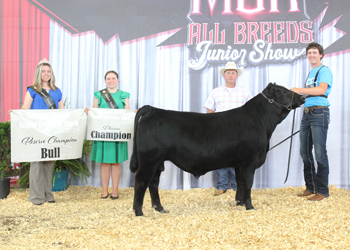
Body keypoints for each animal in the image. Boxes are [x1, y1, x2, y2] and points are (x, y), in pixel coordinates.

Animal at [130, 83, 304, 216]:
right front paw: (250, 206)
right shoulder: (249, 160)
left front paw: (239, 202)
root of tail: (153, 109)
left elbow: (239, 182)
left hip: (158, 162)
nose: (303, 97)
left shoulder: (239, 163)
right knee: (141, 181)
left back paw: (160, 208)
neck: (259, 121)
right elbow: (248, 182)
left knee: (153, 183)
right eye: (282, 92)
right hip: (149, 160)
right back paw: (139, 212)